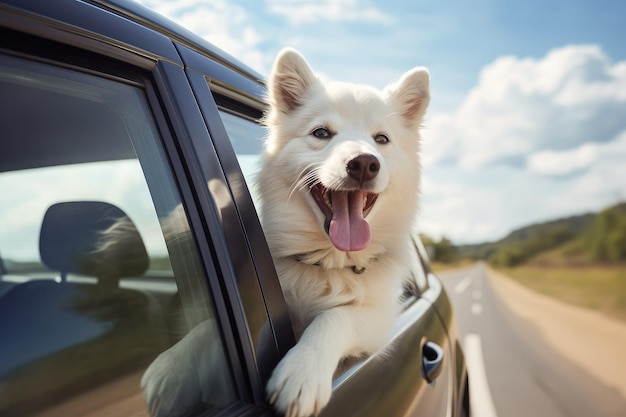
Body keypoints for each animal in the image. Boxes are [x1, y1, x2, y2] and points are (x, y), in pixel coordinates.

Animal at [258, 47, 428, 414]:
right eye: (322, 133)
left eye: (382, 139)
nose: (364, 163)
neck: (330, 263)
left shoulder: (378, 320)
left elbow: (336, 317)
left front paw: (302, 371)